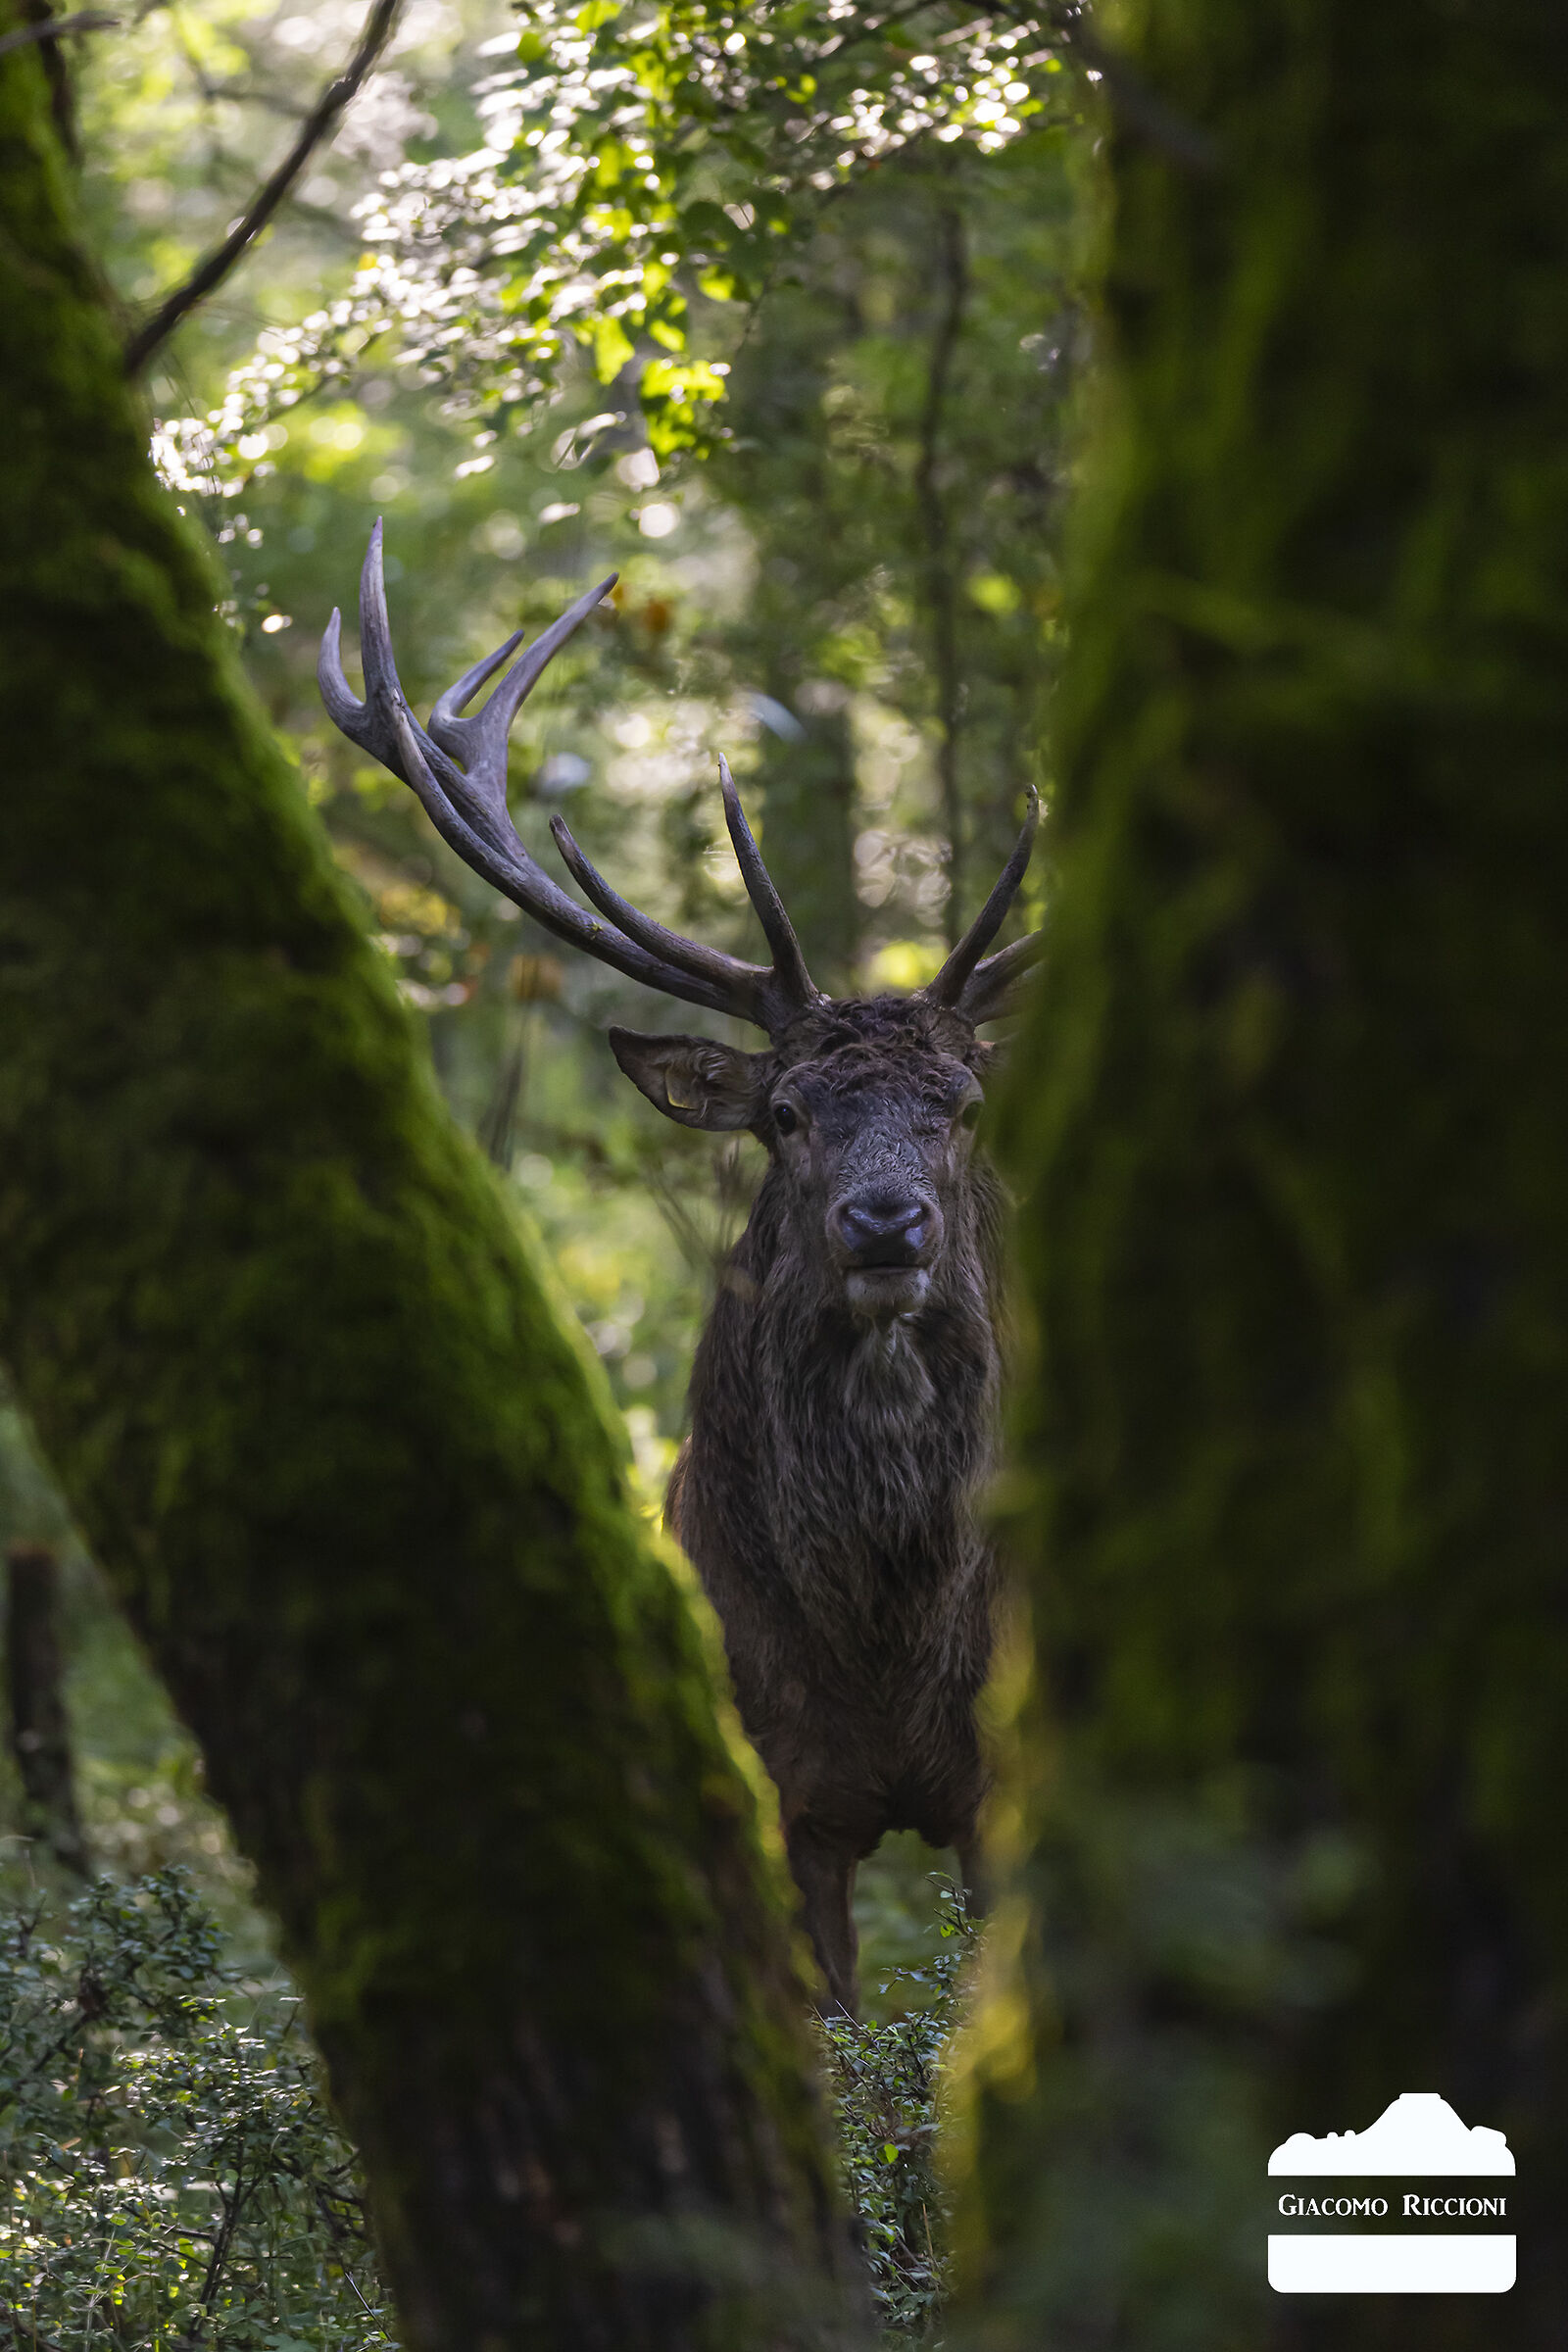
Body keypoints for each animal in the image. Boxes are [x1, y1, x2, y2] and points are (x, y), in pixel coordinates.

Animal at [320, 525, 1042, 2015]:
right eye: (787, 1114)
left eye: (961, 1105)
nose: (886, 1224)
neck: (888, 1633)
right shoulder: (776, 1782)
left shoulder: (1003, 1786)